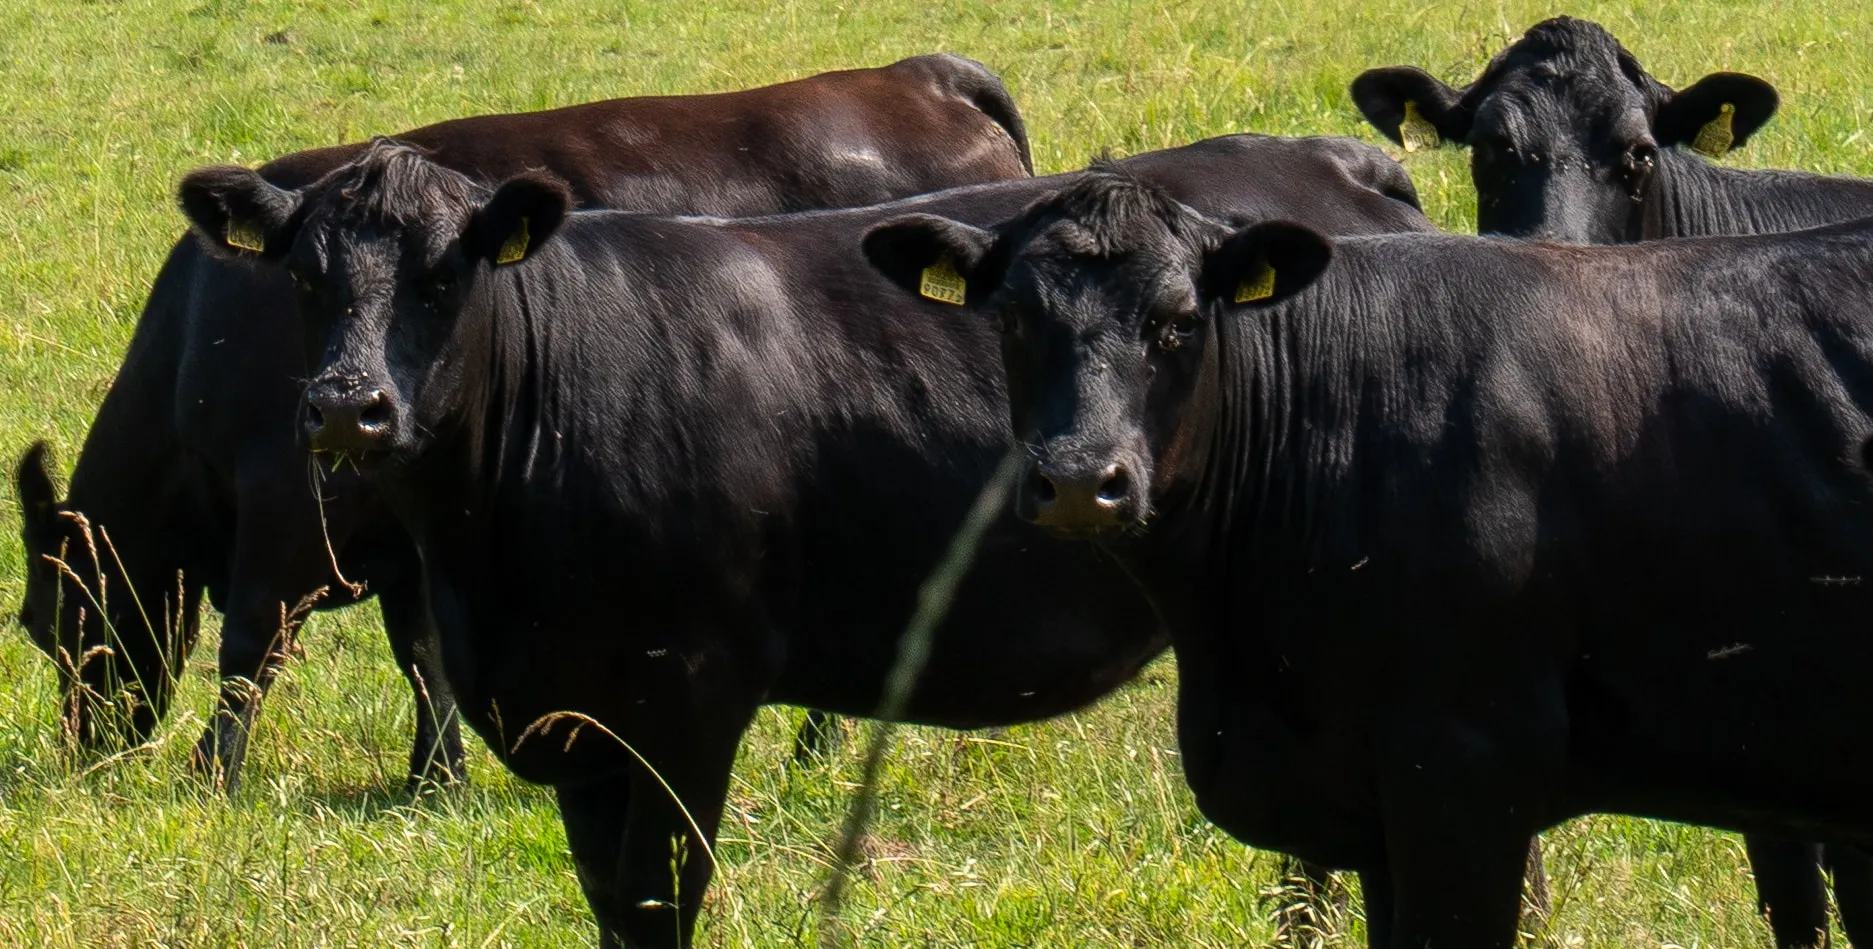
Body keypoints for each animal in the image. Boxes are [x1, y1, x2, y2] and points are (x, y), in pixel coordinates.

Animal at [13, 53, 1034, 796]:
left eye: (50, 617)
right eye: (299, 274)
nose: (85, 752)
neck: (202, 335)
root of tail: (923, 75)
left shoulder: (289, 508)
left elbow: (250, 647)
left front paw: (210, 781)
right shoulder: (410, 525)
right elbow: (421, 651)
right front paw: (436, 779)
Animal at [167, 134, 1429, 947]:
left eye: (445, 272)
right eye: (304, 275)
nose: (348, 408)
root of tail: (1342, 168)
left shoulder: (685, 704)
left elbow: (658, 905)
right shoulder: (577, 726)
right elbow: (611, 910)